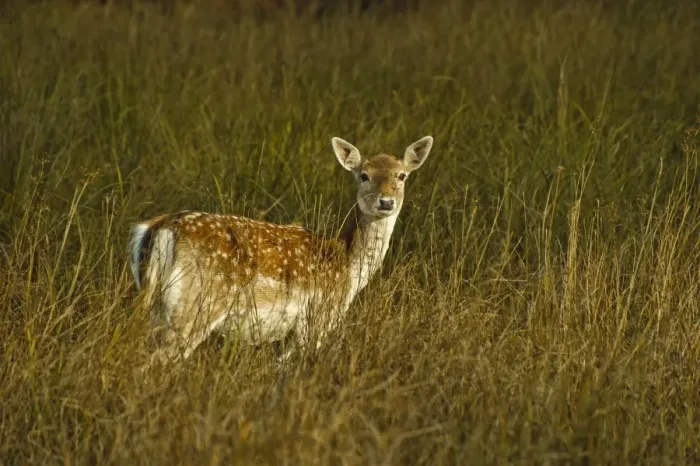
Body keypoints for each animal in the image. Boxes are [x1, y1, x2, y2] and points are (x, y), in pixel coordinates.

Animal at [128, 135, 434, 370]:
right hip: (193, 305)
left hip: (156, 305)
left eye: (401, 175)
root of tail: (159, 227)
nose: (386, 201)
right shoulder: (316, 320)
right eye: (363, 175)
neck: (348, 269)